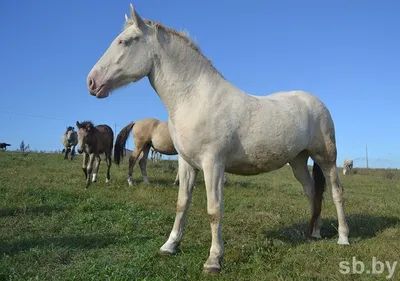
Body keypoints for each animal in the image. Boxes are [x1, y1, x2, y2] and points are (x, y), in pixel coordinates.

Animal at [86, 3, 348, 272]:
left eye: (125, 42)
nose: (91, 82)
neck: (195, 98)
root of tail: (316, 102)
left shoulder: (213, 165)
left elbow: (214, 210)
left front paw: (213, 259)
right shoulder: (187, 163)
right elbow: (182, 203)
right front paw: (170, 245)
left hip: (326, 158)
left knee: (336, 192)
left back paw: (343, 237)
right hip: (298, 160)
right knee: (311, 192)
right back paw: (314, 232)